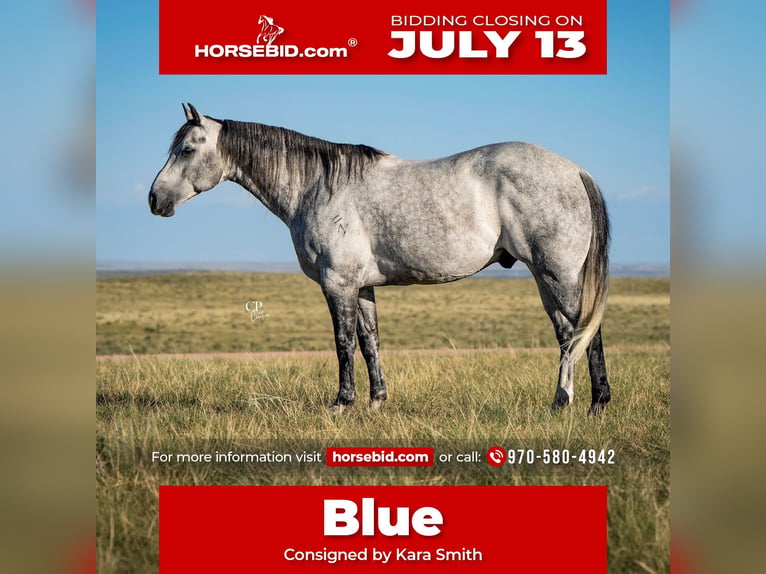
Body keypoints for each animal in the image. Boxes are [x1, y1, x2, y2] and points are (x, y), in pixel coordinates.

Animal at [149, 103, 611, 415]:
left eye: (187, 149)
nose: (155, 199)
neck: (320, 186)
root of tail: (575, 171)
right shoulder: (363, 286)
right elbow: (369, 341)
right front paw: (377, 401)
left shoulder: (337, 283)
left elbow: (343, 342)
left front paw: (341, 402)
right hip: (546, 277)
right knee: (570, 333)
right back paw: (575, 402)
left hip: (557, 275)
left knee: (581, 333)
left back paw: (584, 403)